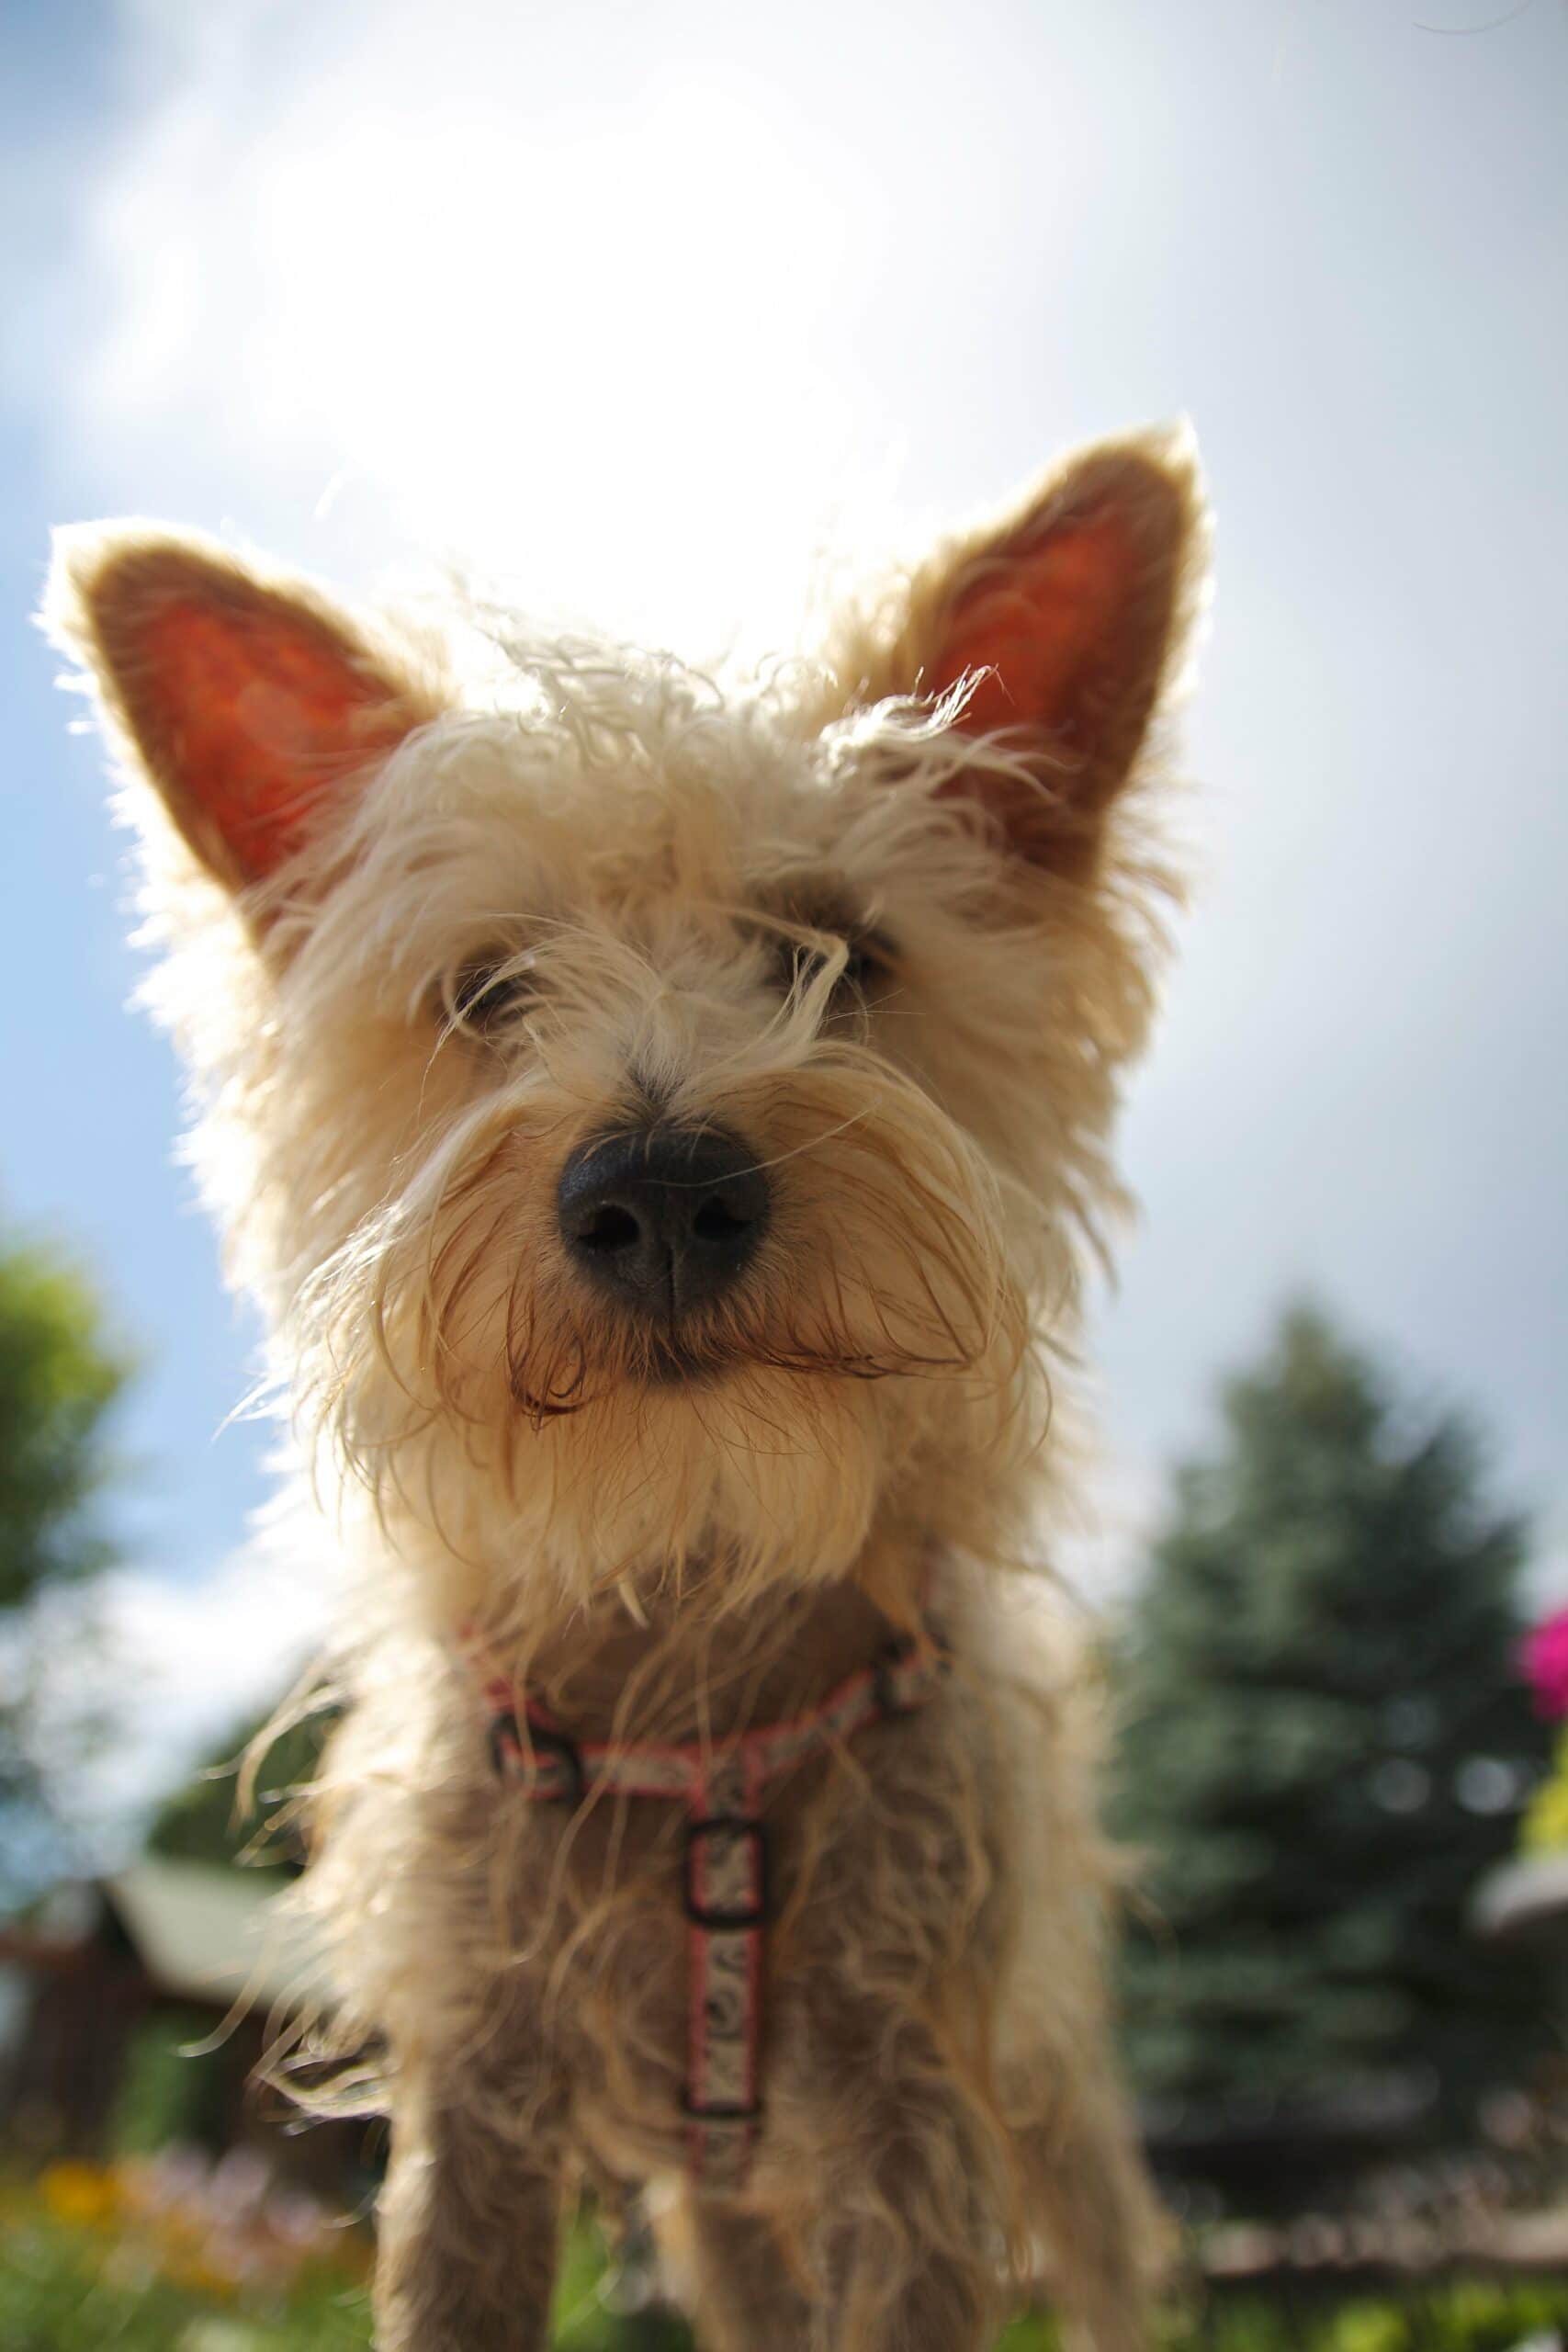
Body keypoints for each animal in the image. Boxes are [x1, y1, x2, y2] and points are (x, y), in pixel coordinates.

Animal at [46, 427, 1203, 2352]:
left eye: (837, 955)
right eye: (485, 990)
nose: (658, 1189)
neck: (695, 1688)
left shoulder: (914, 2103)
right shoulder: (477, 2095)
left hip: (1048, 2105)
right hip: (715, 2196)